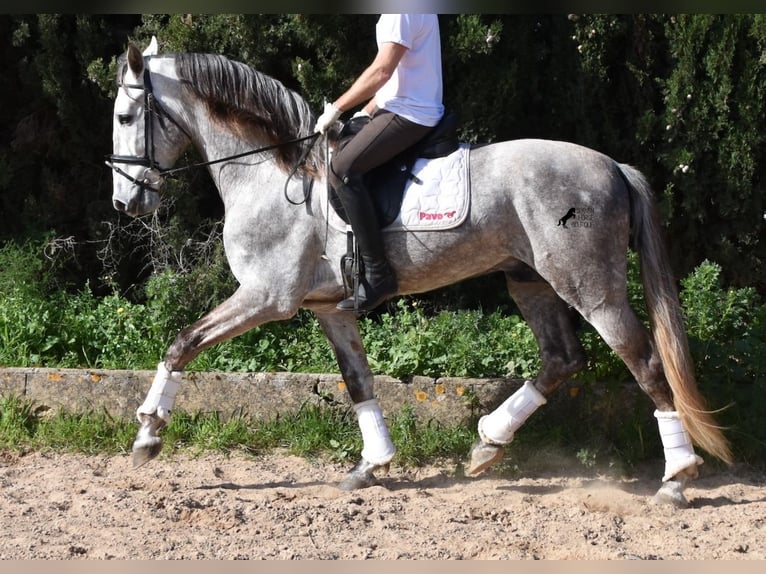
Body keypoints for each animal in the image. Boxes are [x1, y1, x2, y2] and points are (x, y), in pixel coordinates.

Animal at [106, 38, 732, 508]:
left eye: (125, 116)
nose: (124, 203)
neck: (274, 172)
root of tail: (613, 166)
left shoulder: (266, 296)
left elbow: (182, 343)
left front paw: (147, 433)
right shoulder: (328, 307)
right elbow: (358, 381)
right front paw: (372, 465)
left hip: (589, 286)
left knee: (643, 360)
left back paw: (676, 480)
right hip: (529, 280)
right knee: (562, 358)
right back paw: (487, 445)